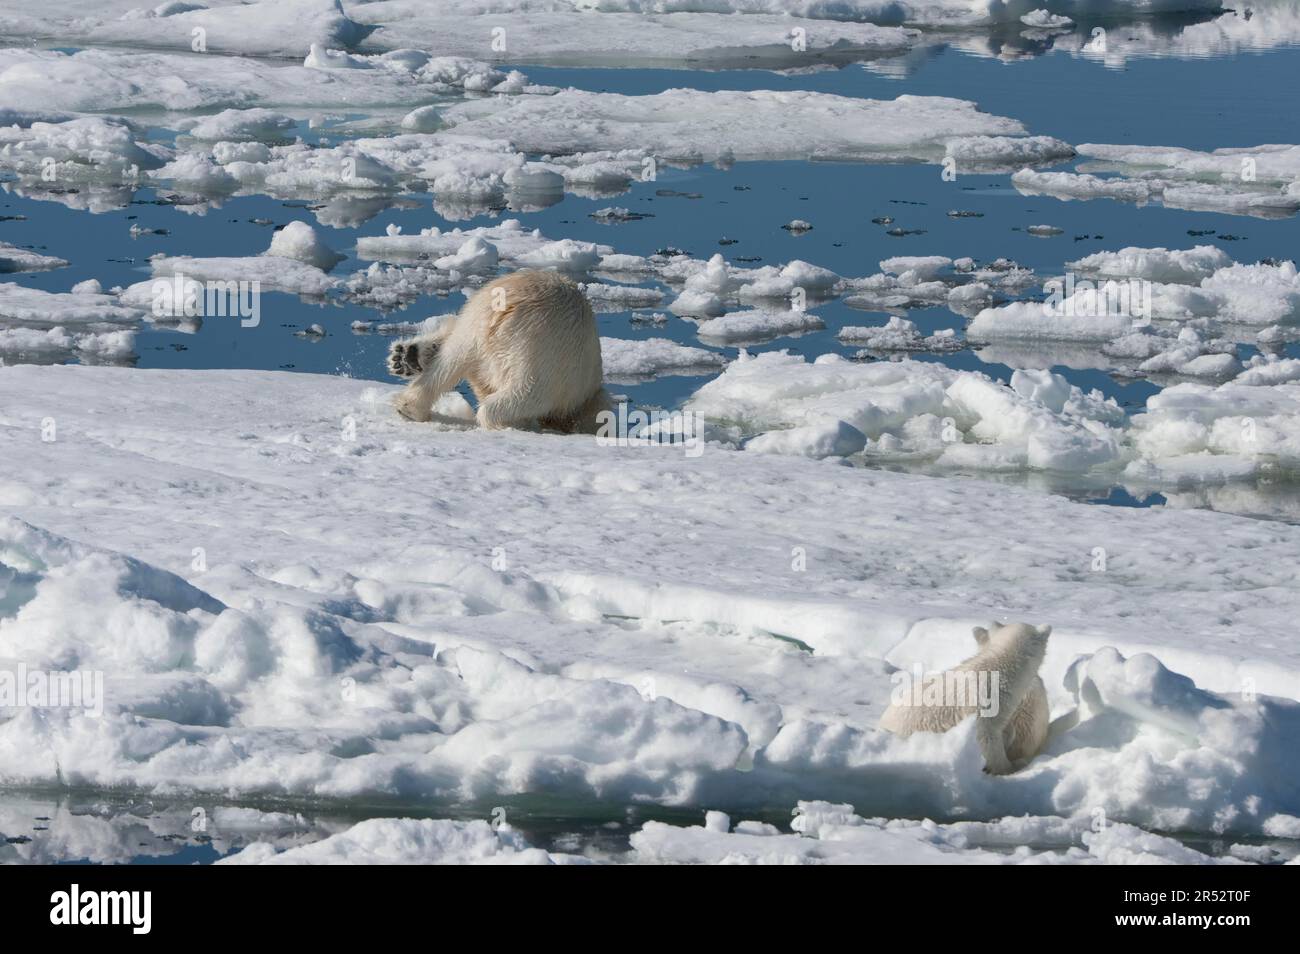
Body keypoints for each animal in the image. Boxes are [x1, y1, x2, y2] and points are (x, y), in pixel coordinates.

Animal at [387, 269, 611, 434]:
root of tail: (506, 308)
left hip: (477, 318)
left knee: (451, 358)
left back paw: (408, 385)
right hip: (540, 351)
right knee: (527, 391)